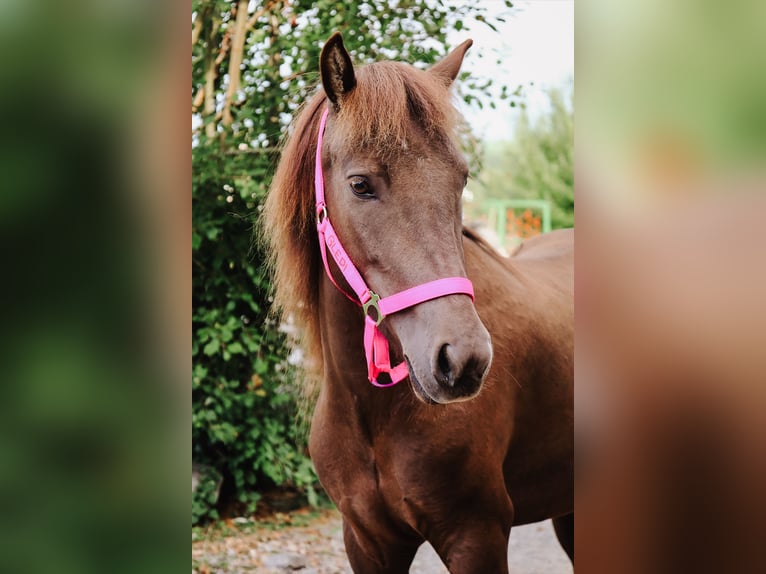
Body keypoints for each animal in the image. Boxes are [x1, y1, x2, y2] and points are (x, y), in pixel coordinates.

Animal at [263, 32, 574, 573]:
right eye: (360, 184)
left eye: (461, 179)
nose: (463, 360)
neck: (374, 416)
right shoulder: (366, 542)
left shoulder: (476, 536)